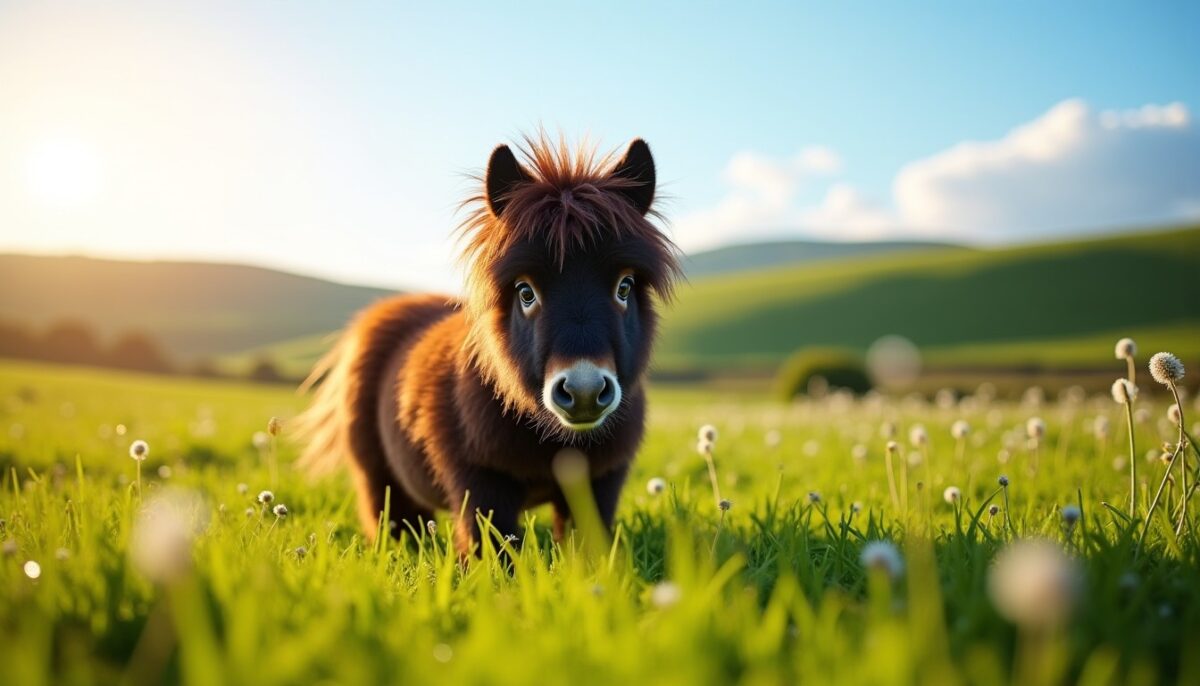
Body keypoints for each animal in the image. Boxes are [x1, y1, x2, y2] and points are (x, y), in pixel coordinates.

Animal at [294, 135, 680, 555]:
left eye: (624, 286)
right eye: (525, 292)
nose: (584, 392)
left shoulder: (600, 483)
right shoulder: (480, 486)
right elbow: (495, 555)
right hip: (381, 482)